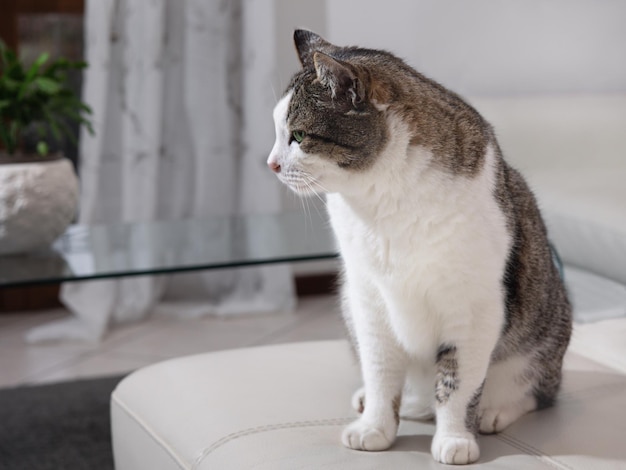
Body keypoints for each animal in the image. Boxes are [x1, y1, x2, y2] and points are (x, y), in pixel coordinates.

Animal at [266, 30, 568, 466]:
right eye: (277, 132)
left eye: (300, 136)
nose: (270, 164)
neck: (382, 200)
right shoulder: (366, 296)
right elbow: (379, 371)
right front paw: (374, 427)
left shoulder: (472, 306)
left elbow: (458, 382)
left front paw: (455, 438)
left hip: (545, 332)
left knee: (539, 390)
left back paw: (495, 410)